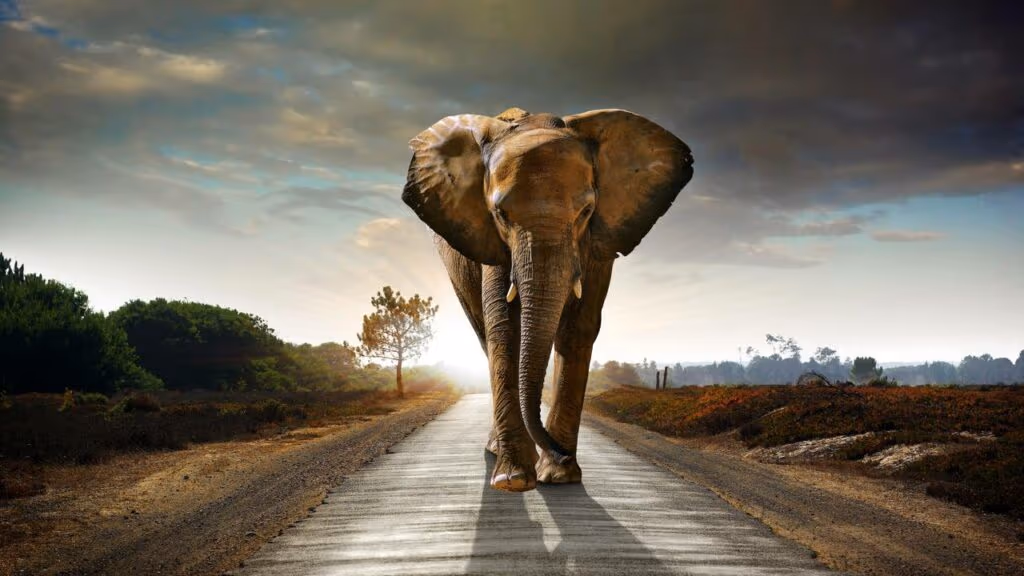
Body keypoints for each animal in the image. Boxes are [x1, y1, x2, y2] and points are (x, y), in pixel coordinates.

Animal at [402, 107, 693, 492]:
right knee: (484, 333)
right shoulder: (492, 241)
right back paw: (498, 452)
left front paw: (559, 476)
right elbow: (504, 327)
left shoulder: (598, 240)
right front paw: (513, 480)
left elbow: (579, 327)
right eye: (500, 214)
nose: (561, 452)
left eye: (586, 212)